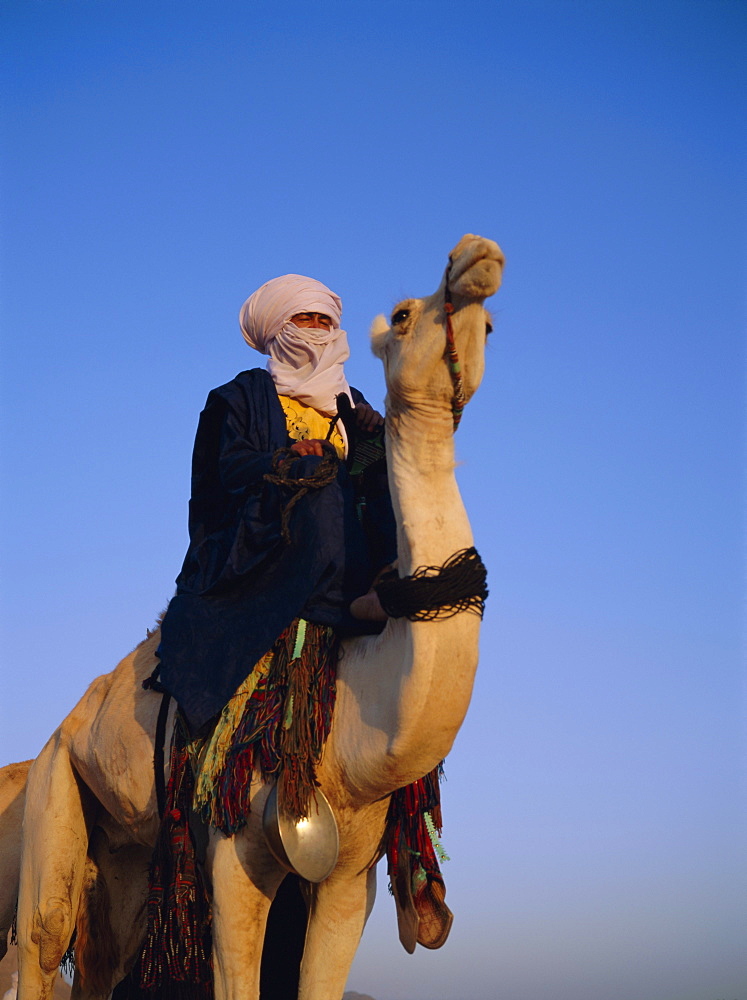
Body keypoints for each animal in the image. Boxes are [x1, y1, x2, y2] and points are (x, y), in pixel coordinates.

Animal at [17, 230, 506, 996]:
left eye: (488, 329)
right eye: (402, 315)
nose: (476, 256)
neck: (352, 729)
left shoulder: (349, 877)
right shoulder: (233, 849)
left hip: (124, 860)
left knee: (103, 961)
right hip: (54, 787)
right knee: (40, 940)